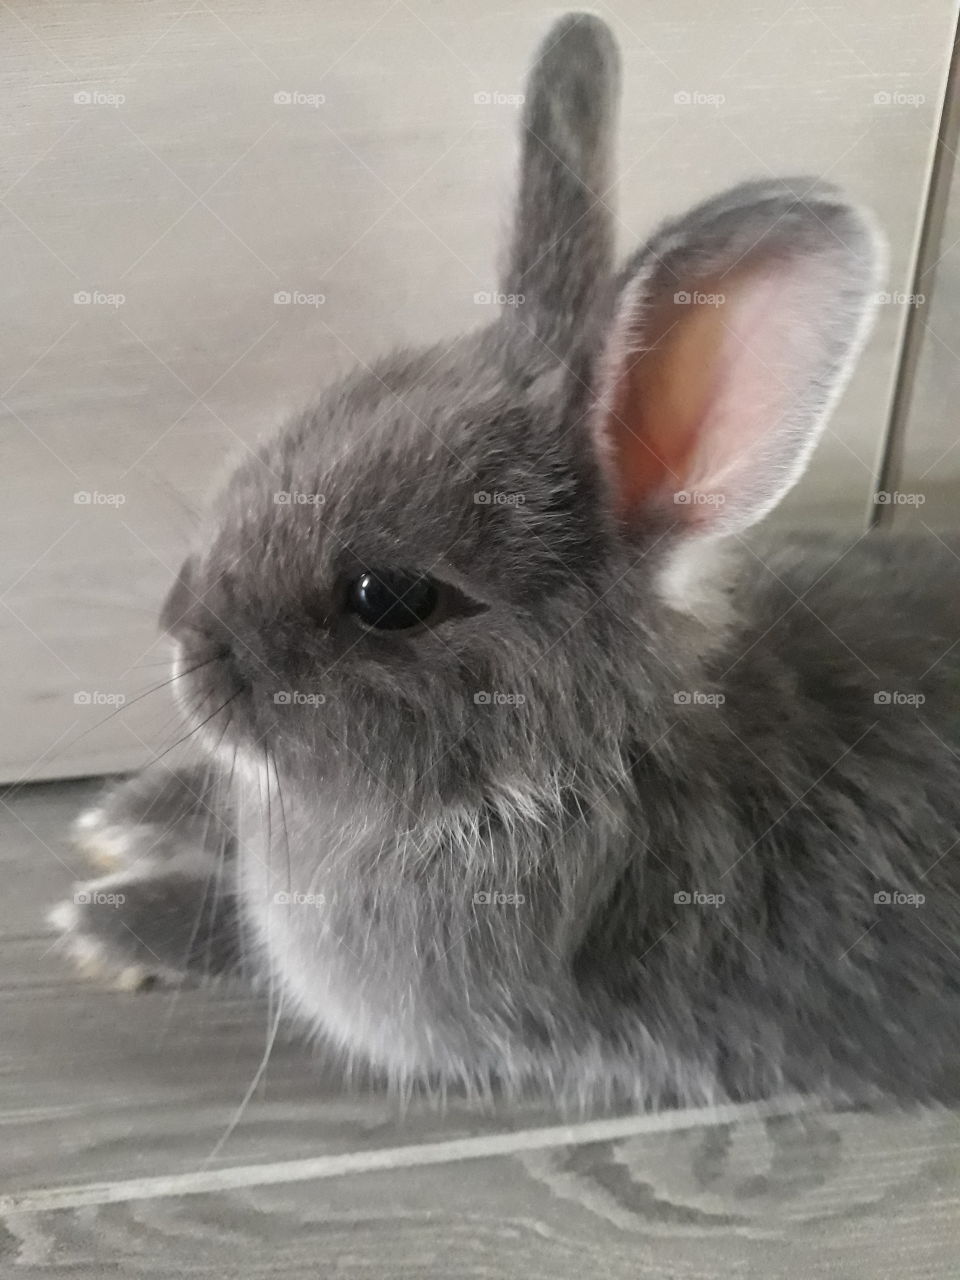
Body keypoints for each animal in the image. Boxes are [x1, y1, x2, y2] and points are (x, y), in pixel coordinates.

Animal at [50, 11, 960, 1112]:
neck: (567, 769)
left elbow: (257, 949)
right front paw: (123, 814)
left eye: (389, 597)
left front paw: (103, 921)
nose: (182, 643)